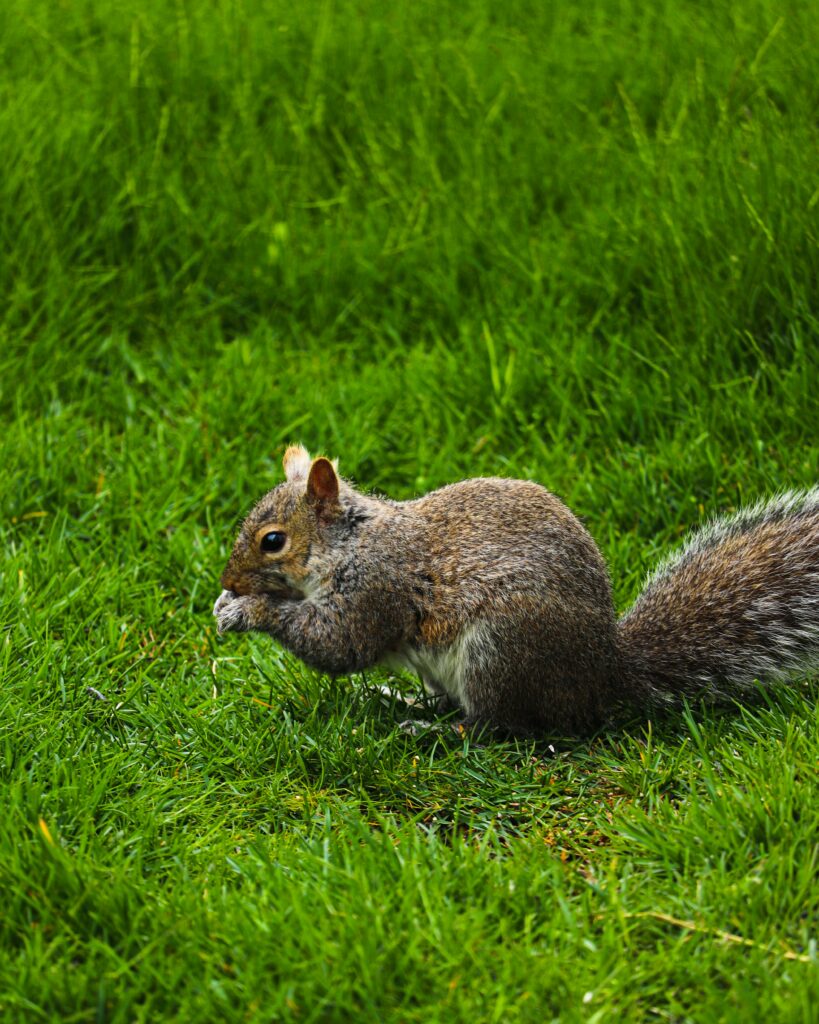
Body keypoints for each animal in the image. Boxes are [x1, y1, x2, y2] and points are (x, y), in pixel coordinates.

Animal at [213, 445, 819, 735]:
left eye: (272, 541)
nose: (226, 581)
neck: (351, 542)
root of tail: (603, 675)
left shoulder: (377, 589)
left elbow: (339, 644)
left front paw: (248, 610)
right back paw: (402, 699)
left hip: (501, 649)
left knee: (498, 725)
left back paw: (432, 731)